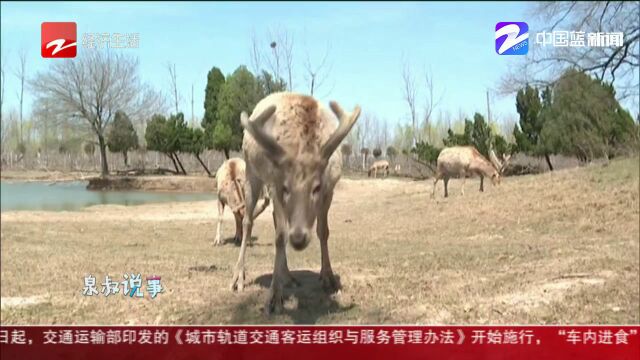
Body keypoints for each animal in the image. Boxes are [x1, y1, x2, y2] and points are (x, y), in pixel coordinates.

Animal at [231, 93, 362, 316]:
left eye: (316, 187)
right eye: (285, 187)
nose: (299, 238)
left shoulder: (331, 187)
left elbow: (323, 231)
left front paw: (329, 278)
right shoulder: (274, 185)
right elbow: (280, 236)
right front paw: (274, 298)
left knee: (275, 221)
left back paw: (288, 276)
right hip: (250, 171)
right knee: (249, 221)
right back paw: (239, 277)